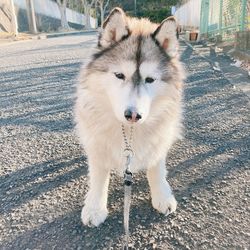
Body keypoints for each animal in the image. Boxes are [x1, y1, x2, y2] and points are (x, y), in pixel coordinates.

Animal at [73, 7, 185, 227]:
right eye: (119, 75)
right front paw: (95, 208)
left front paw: (162, 196)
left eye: (150, 80)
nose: (133, 115)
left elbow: (157, 168)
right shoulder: (97, 144)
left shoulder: (159, 137)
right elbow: (98, 177)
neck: (129, 130)